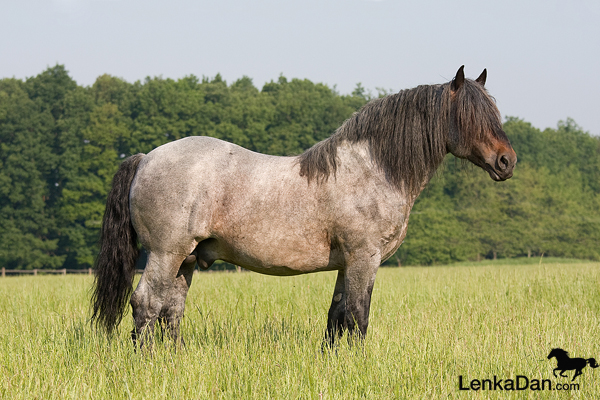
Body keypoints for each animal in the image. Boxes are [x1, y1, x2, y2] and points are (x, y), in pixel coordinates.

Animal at [89, 65, 516, 346]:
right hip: (165, 253)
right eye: (468, 116)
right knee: (146, 304)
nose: (507, 162)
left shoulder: (347, 263)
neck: (372, 167)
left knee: (170, 310)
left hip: (187, 259)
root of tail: (146, 158)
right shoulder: (364, 257)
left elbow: (337, 316)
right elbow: (358, 315)